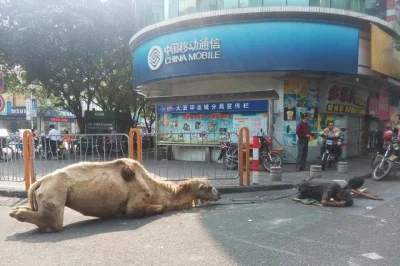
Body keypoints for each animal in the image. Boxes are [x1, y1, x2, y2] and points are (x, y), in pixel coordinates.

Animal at [9, 159, 220, 232]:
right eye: (209, 187)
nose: (219, 194)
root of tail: (40, 182)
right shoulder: (138, 199)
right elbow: (154, 208)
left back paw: (18, 210)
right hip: (56, 190)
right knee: (54, 222)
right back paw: (16, 214)